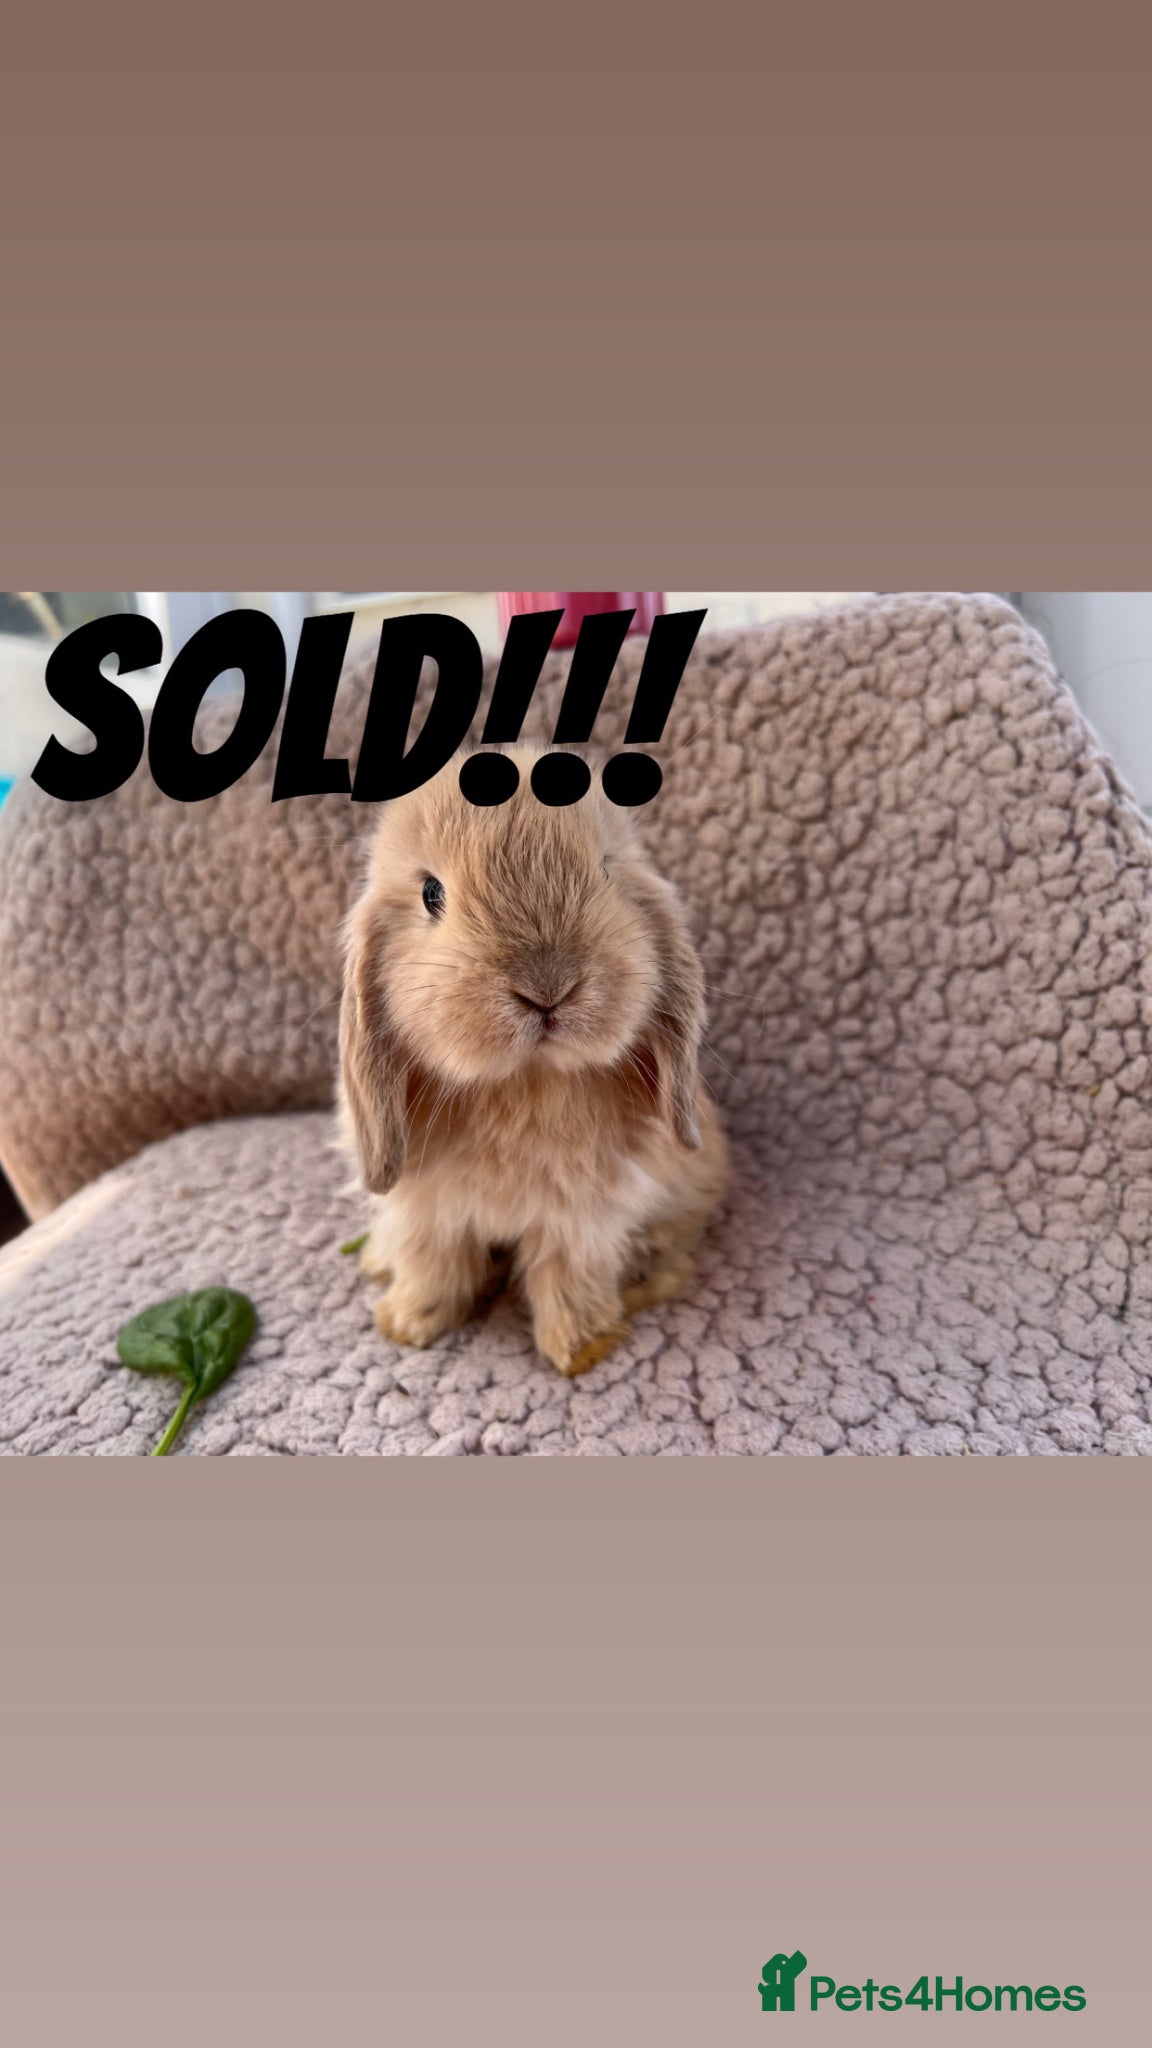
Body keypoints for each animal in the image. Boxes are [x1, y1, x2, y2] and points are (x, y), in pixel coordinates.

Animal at [337, 745, 728, 1376]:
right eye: (431, 894)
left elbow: (568, 1278)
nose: (547, 987)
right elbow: (432, 1266)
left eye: (607, 873)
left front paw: (580, 1351)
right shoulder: (428, 1210)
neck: (523, 1082)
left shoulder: (583, 1218)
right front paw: (407, 1325)